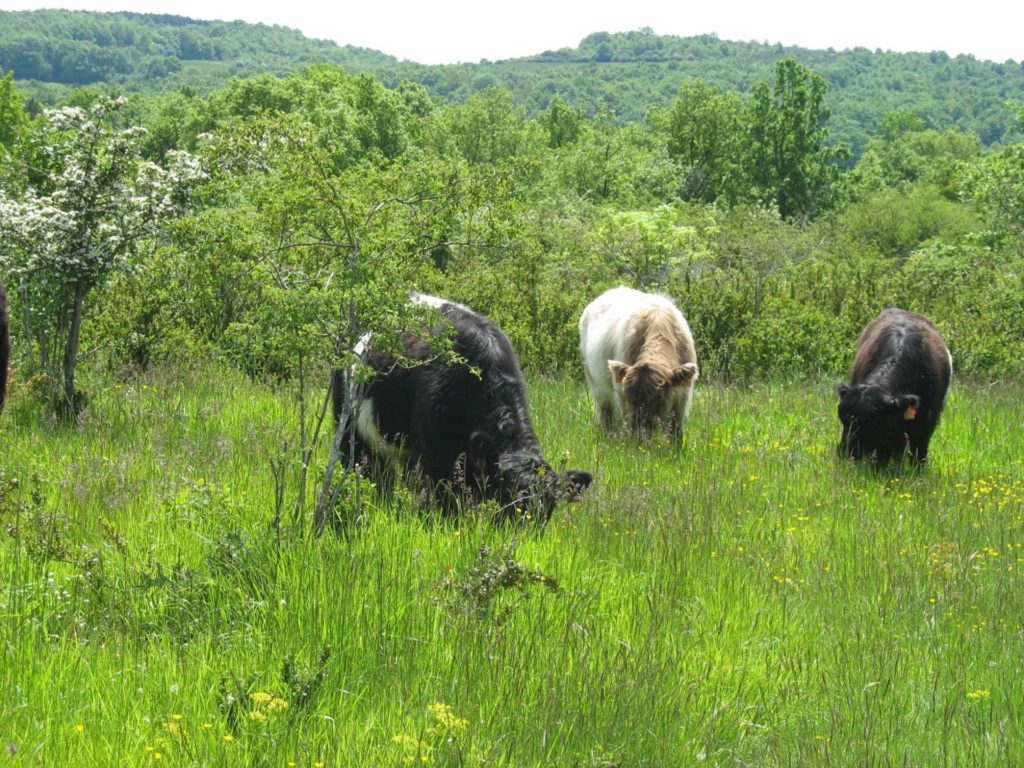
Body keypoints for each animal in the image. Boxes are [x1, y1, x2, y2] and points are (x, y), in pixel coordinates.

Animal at [581, 286, 700, 436]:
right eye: (629, 396)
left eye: (659, 397)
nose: (639, 427)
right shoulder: (622, 397)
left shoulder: (682, 401)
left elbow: (676, 433)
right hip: (597, 386)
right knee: (605, 414)